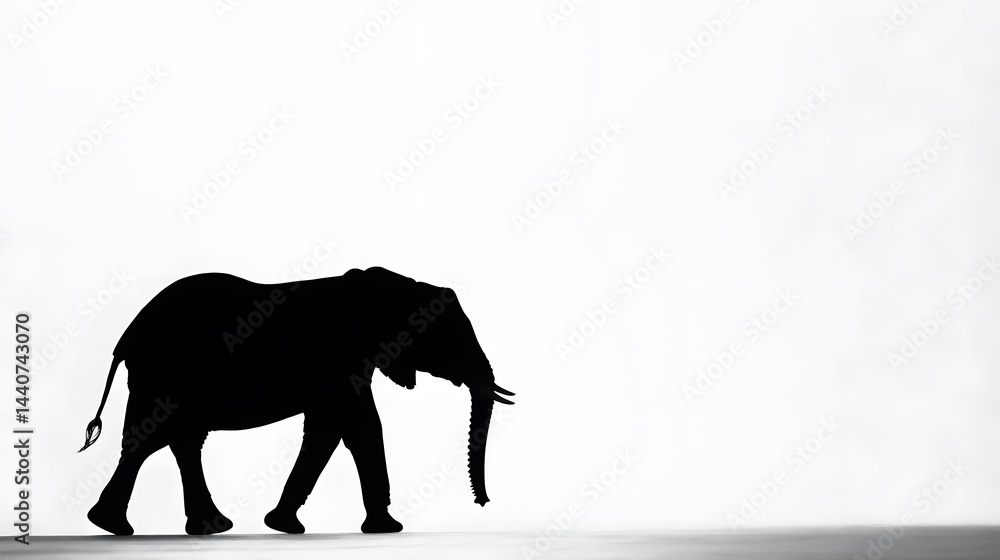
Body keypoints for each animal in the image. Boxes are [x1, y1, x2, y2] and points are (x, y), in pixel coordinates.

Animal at [78, 266, 514, 536]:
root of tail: (126, 336)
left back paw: (200, 527)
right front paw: (389, 528)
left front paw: (283, 526)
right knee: (150, 439)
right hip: (164, 374)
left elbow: (327, 431)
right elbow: (361, 428)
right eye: (449, 340)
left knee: (181, 441)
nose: (484, 502)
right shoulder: (342, 358)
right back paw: (114, 527)